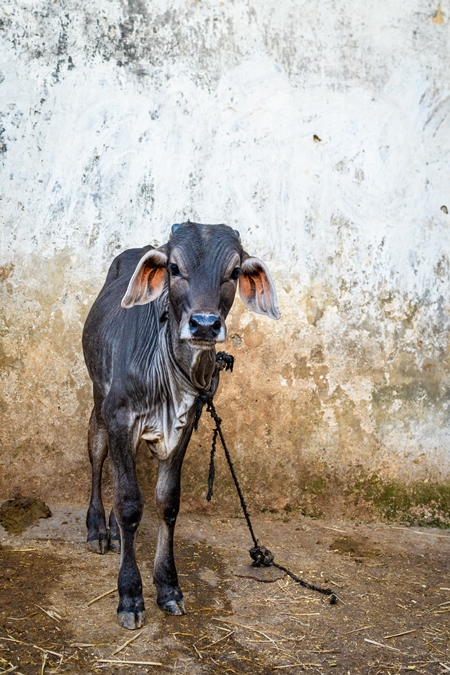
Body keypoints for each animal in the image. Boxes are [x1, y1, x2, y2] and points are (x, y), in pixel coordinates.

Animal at [81, 224, 278, 632]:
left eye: (235, 271)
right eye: (174, 267)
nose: (204, 324)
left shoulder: (185, 424)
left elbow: (167, 502)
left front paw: (168, 588)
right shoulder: (120, 415)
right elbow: (129, 504)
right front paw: (130, 595)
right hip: (99, 399)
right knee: (97, 456)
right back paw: (97, 529)